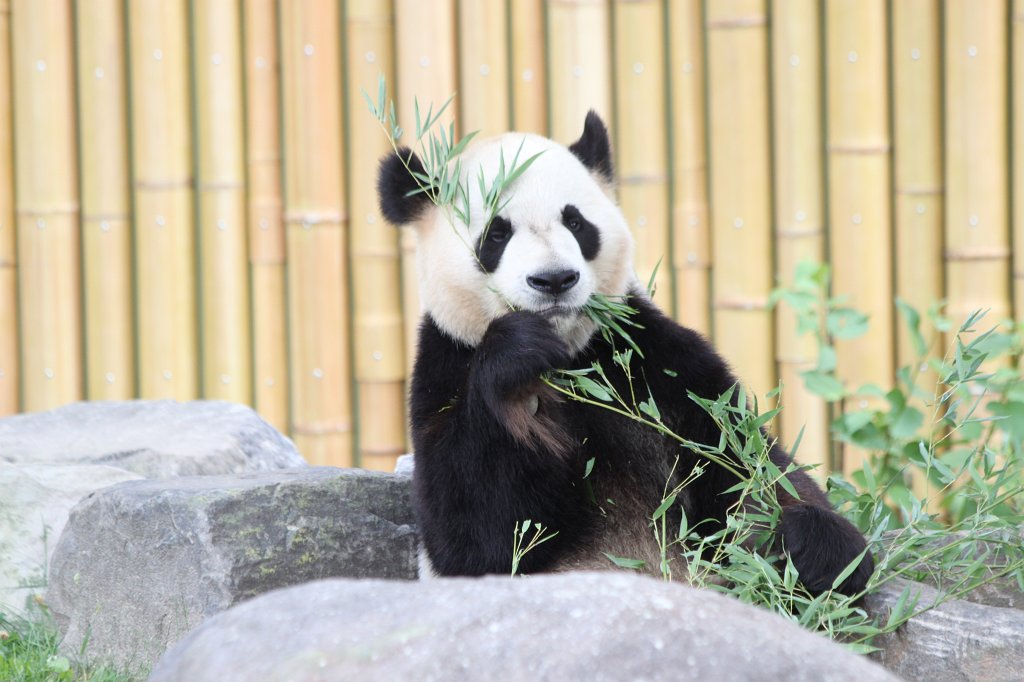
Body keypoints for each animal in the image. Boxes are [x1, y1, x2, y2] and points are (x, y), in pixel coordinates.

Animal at [377, 111, 873, 596]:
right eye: (496, 234)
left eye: (577, 223)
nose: (554, 280)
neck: (571, 359)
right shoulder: (446, 364)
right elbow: (475, 531)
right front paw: (519, 363)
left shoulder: (654, 359)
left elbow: (741, 459)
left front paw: (821, 547)